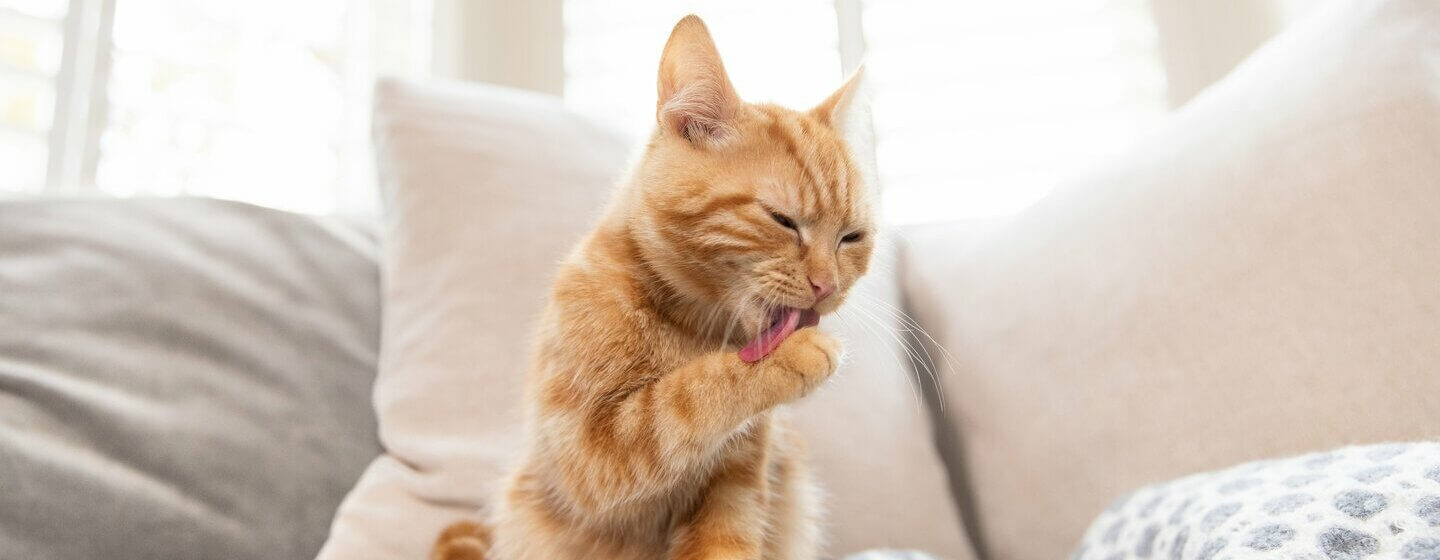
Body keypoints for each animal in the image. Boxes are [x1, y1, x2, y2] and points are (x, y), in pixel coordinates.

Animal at [432, 13, 869, 558]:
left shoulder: (735, 487)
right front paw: (791, 357)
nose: (827, 285)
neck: (697, 328)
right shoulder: (589, 456)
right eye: (782, 220)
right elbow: (680, 401)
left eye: (852, 237)